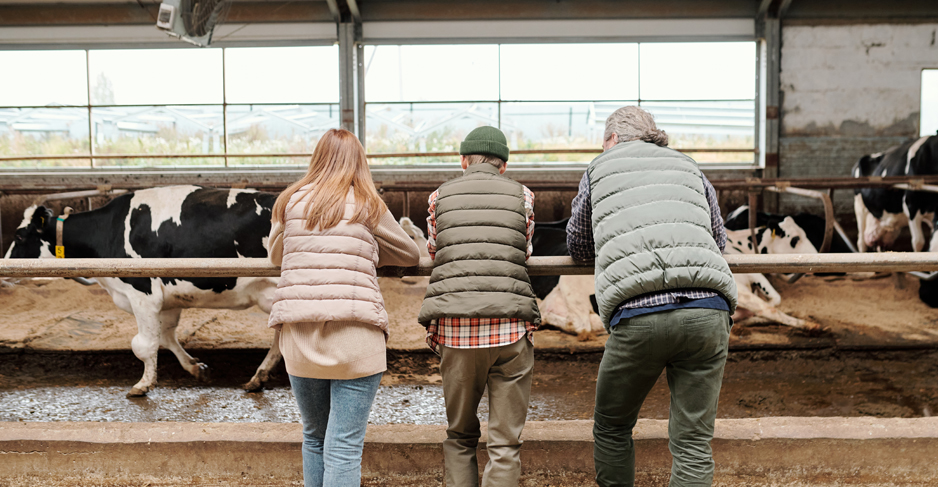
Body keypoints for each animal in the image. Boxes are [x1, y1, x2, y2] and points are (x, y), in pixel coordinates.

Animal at [4, 186, 282, 396]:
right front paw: (195, 367)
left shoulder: (143, 293)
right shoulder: (168, 300)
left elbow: (143, 345)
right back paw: (258, 377)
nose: (5, 270)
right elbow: (166, 337)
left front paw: (143, 385)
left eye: (18, 237)